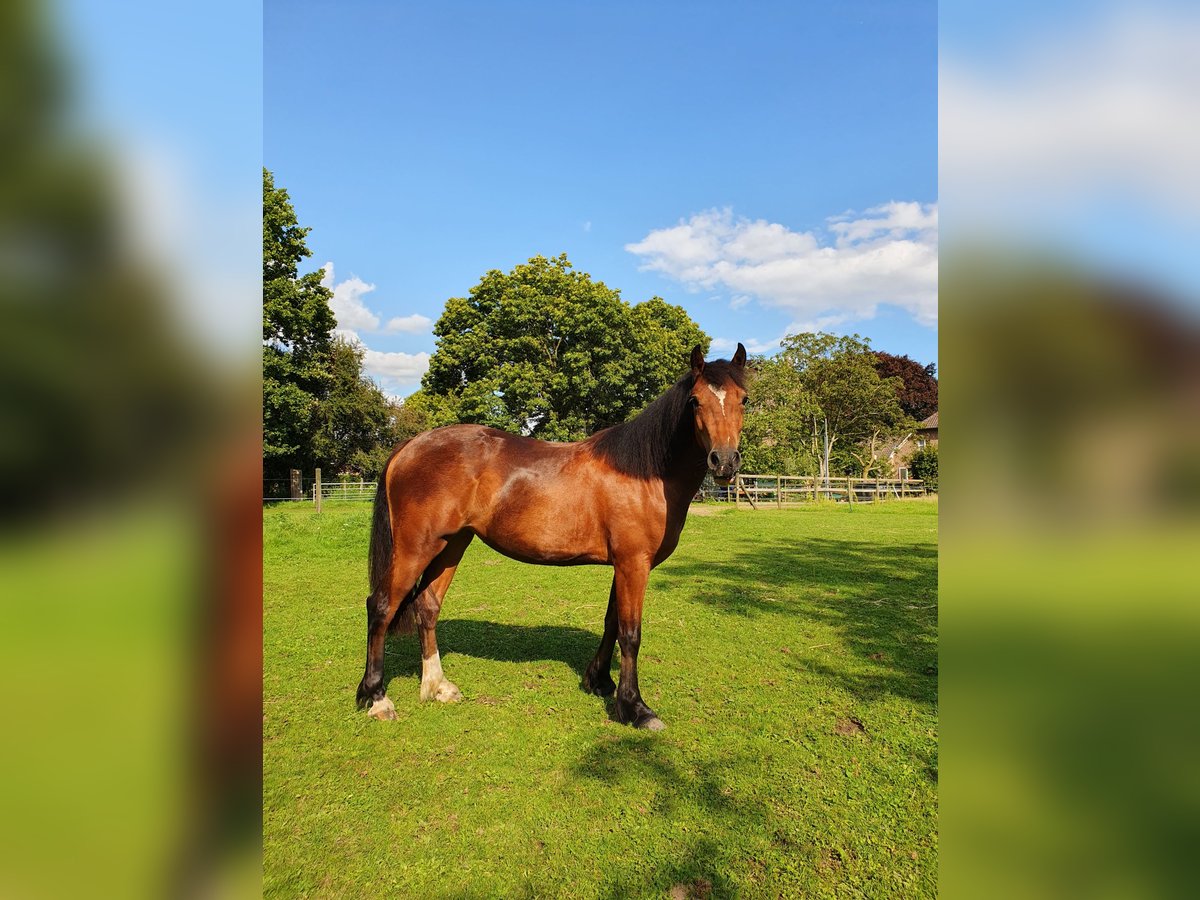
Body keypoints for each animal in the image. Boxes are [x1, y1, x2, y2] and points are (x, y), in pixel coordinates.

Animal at [352, 340, 748, 729]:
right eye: (695, 400)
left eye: (743, 399)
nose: (724, 461)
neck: (643, 472)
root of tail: (410, 446)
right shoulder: (634, 564)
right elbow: (630, 633)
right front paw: (635, 708)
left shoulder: (622, 564)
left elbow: (611, 623)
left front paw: (599, 681)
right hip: (415, 548)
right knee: (381, 606)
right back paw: (377, 698)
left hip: (451, 544)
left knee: (427, 605)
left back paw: (437, 687)